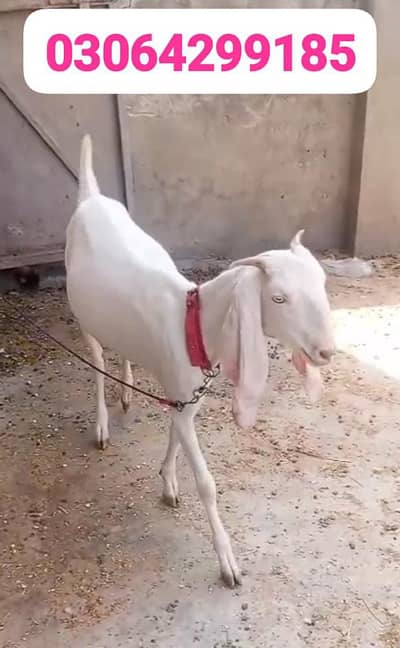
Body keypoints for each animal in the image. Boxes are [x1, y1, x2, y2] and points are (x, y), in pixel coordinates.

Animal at [65, 135, 336, 588]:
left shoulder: (186, 395)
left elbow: (176, 435)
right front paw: (228, 562)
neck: (192, 322)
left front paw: (168, 482)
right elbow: (207, 483)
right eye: (278, 298)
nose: (326, 351)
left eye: (323, 283)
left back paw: (126, 393)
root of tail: (91, 196)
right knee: (97, 357)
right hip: (81, 312)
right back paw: (102, 423)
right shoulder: (180, 389)